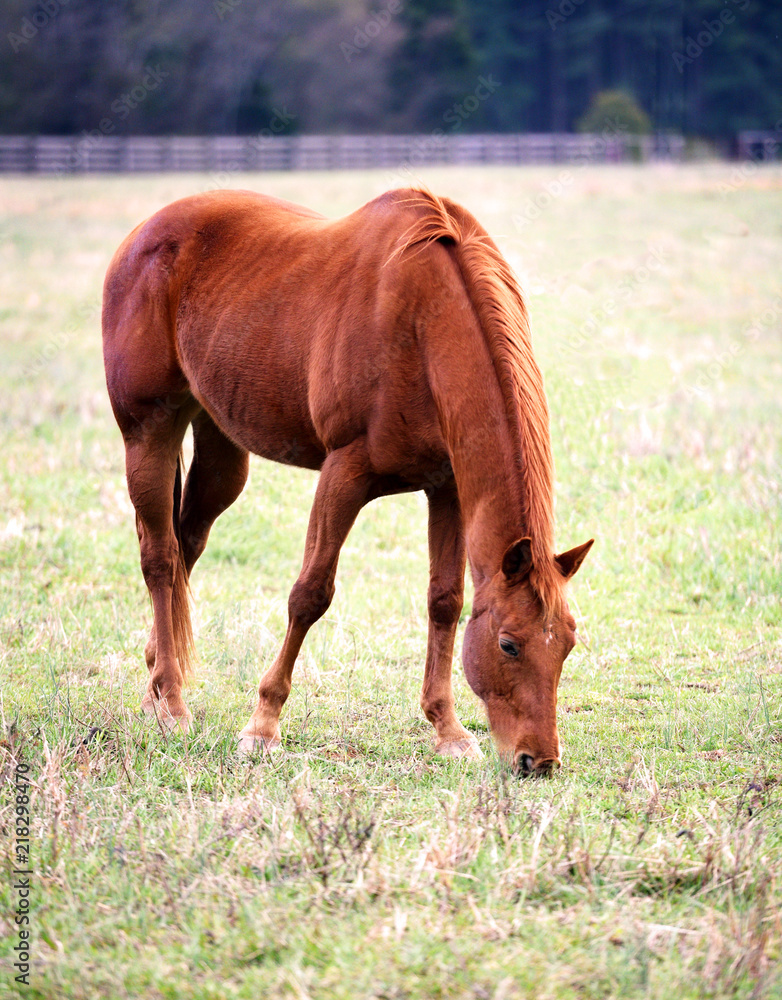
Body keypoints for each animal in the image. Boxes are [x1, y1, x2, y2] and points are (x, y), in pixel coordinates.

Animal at [102, 187, 593, 775]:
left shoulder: (447, 488)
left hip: (221, 451)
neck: (420, 325)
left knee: (185, 550)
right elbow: (310, 595)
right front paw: (263, 725)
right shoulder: (344, 476)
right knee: (159, 559)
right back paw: (172, 703)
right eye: (508, 645)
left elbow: (445, 601)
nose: (537, 762)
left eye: (567, 643)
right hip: (148, 434)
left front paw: (448, 730)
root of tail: (143, 235)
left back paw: (155, 689)